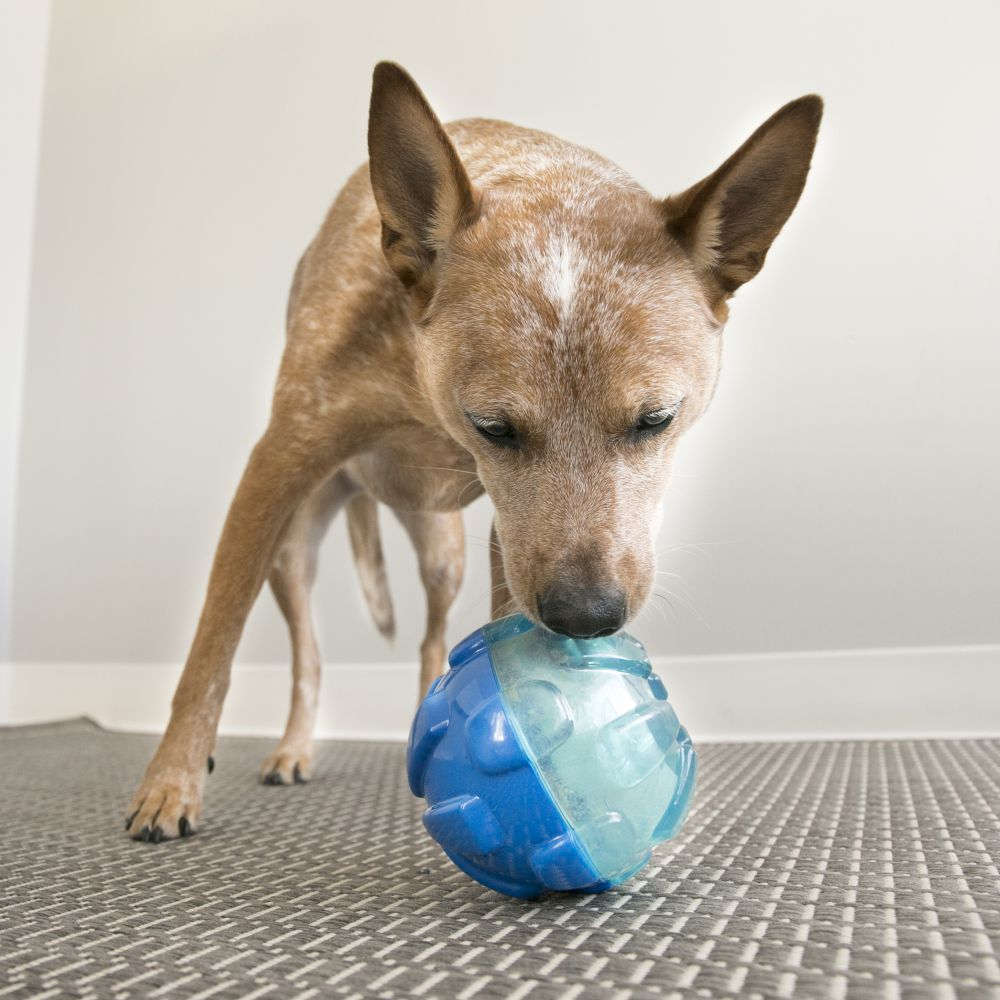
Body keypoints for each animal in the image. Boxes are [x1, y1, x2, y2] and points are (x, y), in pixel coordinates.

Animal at [123, 64, 820, 844]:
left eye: (656, 420)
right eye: (493, 427)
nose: (586, 616)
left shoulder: (504, 538)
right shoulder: (277, 464)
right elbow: (210, 651)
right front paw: (170, 785)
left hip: (444, 553)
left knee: (431, 641)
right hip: (295, 546)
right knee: (308, 655)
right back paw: (294, 748)